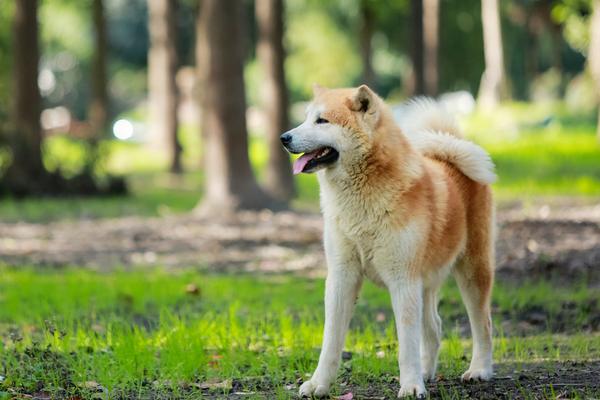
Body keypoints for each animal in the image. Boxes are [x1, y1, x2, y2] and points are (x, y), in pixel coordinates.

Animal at [282, 84, 496, 396]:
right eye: (306, 118)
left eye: (322, 121)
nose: (284, 138)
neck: (362, 200)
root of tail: (451, 150)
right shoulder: (342, 277)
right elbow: (330, 342)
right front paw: (319, 384)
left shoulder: (402, 280)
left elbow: (406, 344)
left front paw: (411, 387)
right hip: (426, 283)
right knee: (434, 327)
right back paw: (427, 372)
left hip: (472, 272)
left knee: (483, 325)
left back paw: (479, 370)